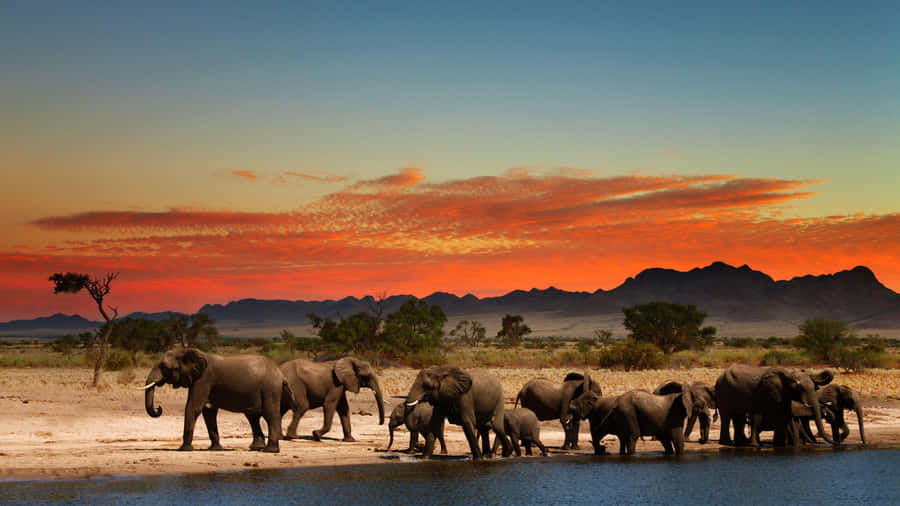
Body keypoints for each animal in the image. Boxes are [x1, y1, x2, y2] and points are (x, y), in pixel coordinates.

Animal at [141, 348, 294, 453]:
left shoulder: (203, 380)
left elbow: (193, 407)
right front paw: (215, 449)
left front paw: (184, 449)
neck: (186, 351)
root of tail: (281, 374)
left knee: (270, 415)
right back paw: (256, 448)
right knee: (252, 416)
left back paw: (270, 451)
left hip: (270, 388)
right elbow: (208, 412)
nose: (159, 408)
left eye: (164, 368)